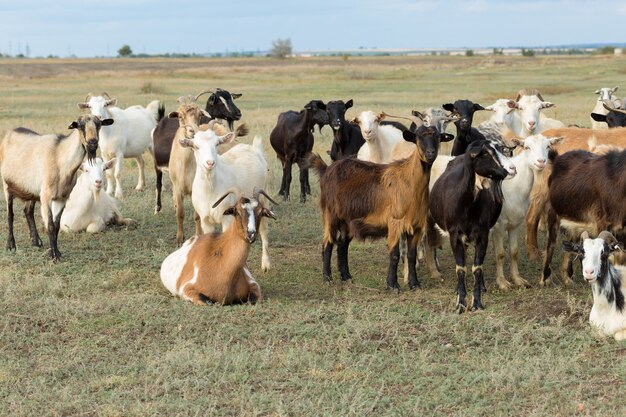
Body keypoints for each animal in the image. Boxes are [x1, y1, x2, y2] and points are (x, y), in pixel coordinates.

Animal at [0, 114, 112, 260]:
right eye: (81, 126)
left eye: (99, 125)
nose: (92, 143)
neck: (60, 158)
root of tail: (10, 132)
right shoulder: (46, 196)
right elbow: (50, 225)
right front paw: (54, 256)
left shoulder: (62, 198)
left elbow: (57, 225)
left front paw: (57, 252)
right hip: (6, 185)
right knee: (10, 214)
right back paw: (11, 245)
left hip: (32, 191)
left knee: (28, 211)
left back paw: (36, 242)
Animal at [178, 124, 270, 270]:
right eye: (196, 146)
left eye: (216, 144)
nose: (210, 163)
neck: (210, 189)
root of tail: (254, 148)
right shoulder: (205, 220)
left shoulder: (227, 217)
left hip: (264, 195)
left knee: (264, 229)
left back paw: (266, 263)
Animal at [308, 125, 454, 290]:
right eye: (418, 137)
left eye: (438, 137)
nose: (430, 153)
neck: (409, 182)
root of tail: (327, 170)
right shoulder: (395, 222)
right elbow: (395, 254)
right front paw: (393, 285)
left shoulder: (416, 225)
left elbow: (411, 255)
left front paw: (414, 284)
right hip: (331, 214)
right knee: (327, 244)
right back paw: (327, 278)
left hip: (348, 220)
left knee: (342, 245)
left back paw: (346, 277)